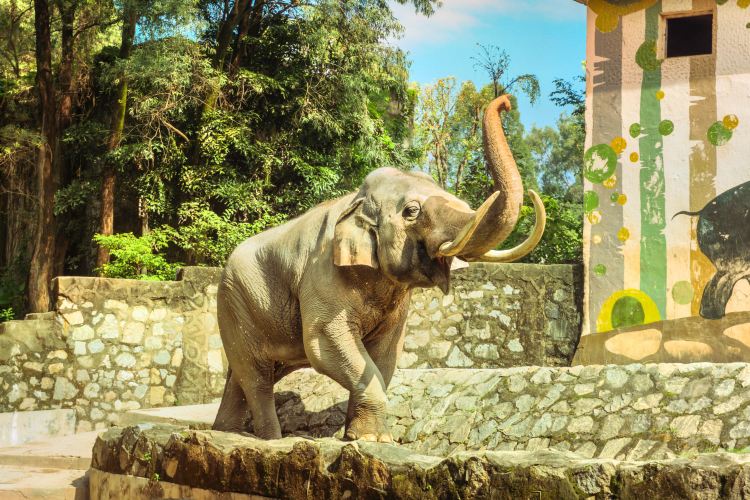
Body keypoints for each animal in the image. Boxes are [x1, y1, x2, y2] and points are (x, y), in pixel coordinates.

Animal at [212, 94, 548, 442]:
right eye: (412, 211)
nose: (506, 102)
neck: (355, 200)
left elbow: (386, 353)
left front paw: (362, 437)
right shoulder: (322, 275)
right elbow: (325, 342)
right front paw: (373, 439)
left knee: (243, 374)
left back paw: (226, 431)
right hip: (234, 303)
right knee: (257, 376)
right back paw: (270, 439)